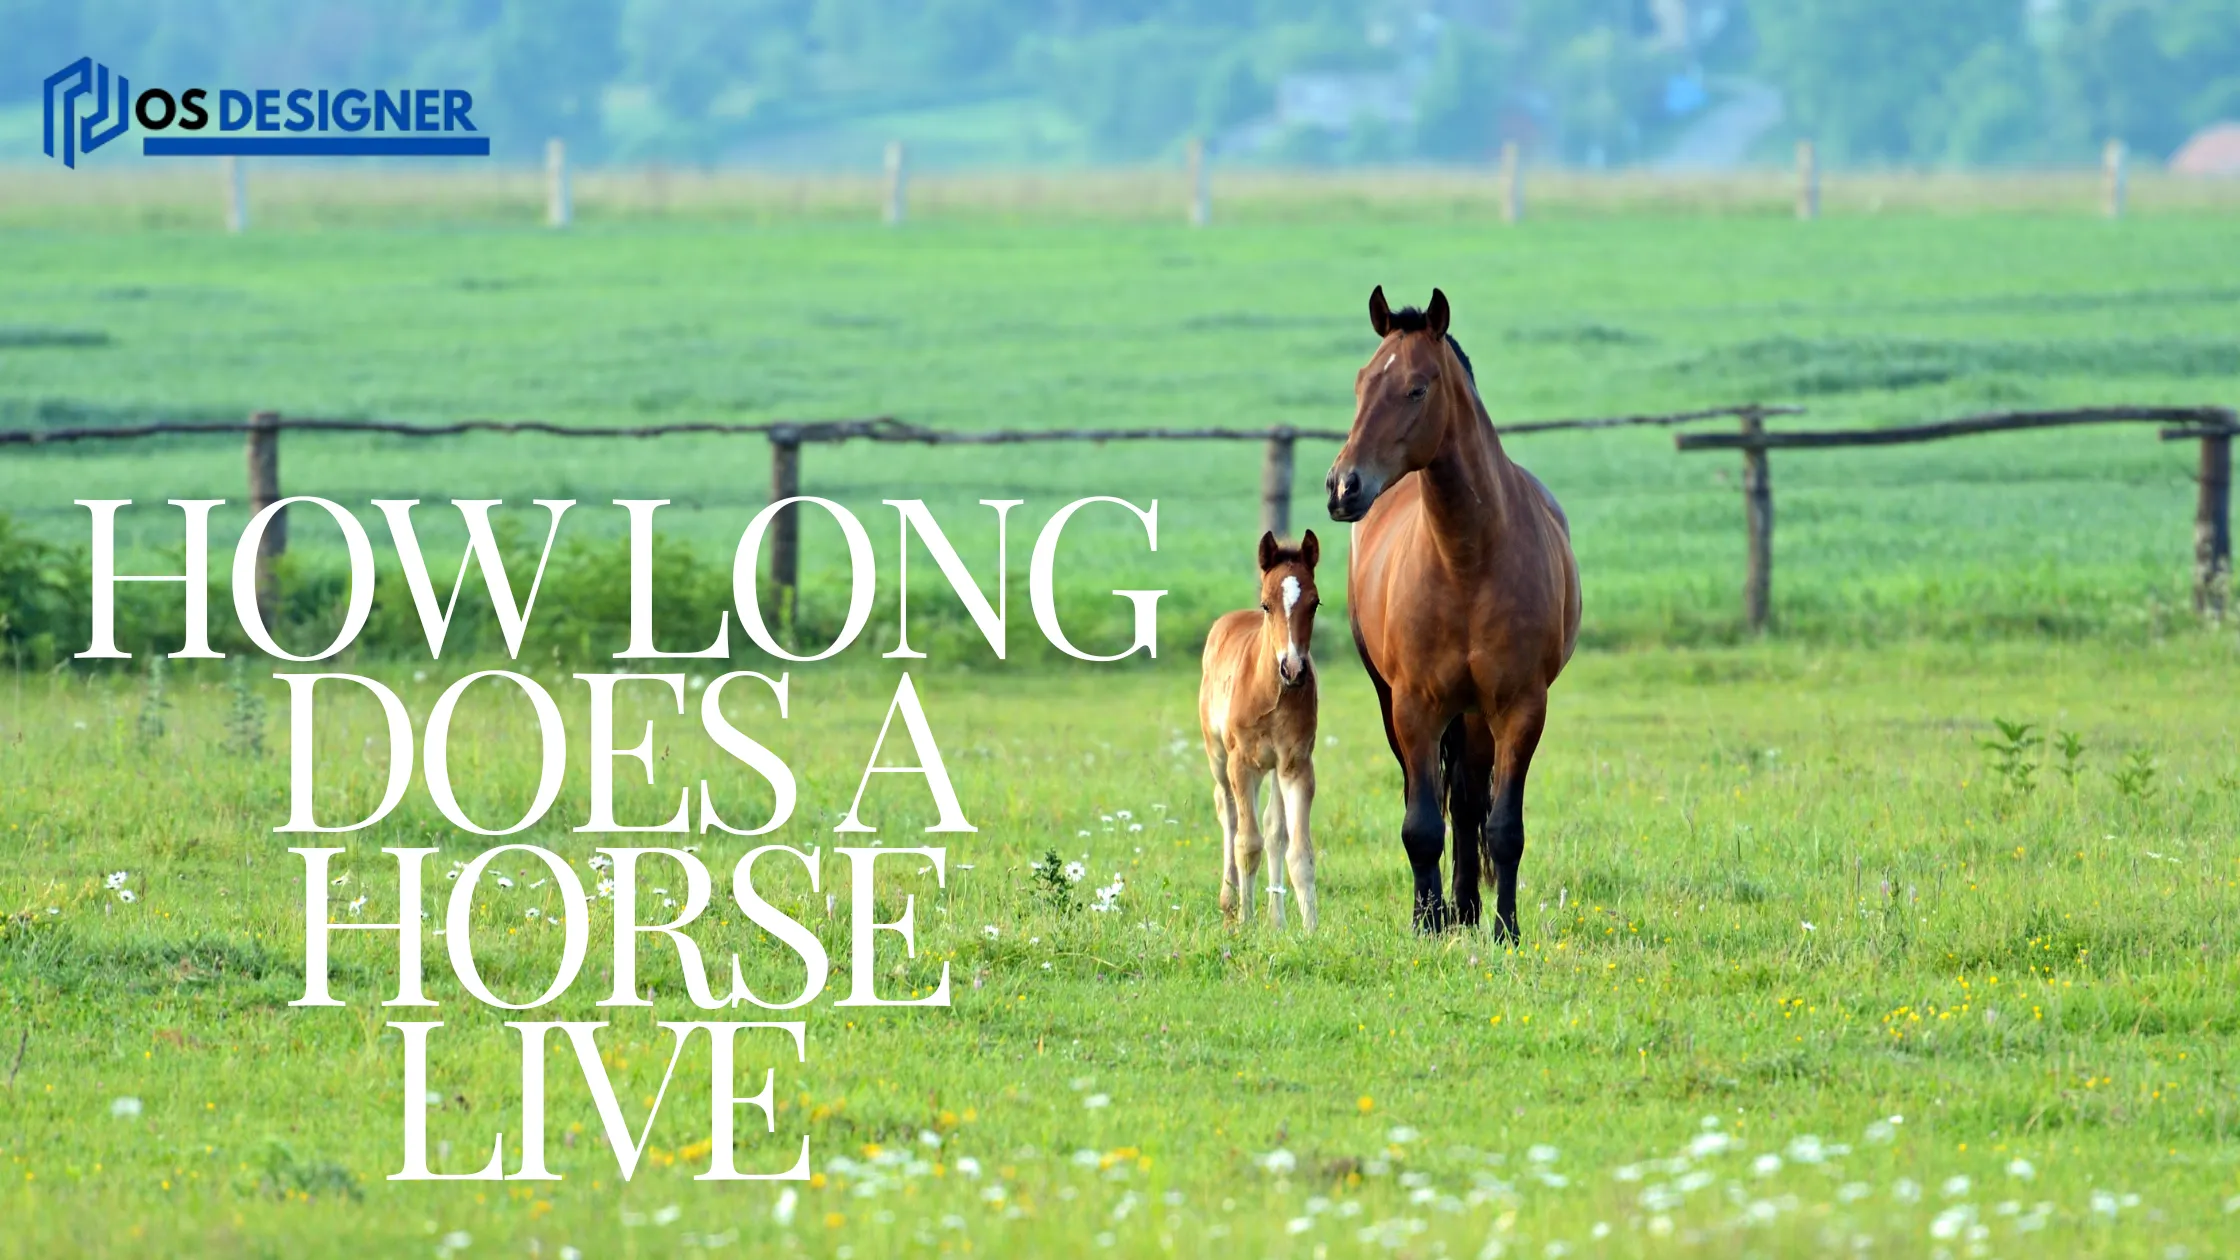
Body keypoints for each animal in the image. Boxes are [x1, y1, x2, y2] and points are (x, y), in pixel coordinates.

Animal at [1200, 524, 1317, 928]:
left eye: (1315, 603)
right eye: (1267, 604)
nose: (1293, 669)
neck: (1272, 693)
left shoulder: (1296, 765)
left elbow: (1298, 851)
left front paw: (1310, 931)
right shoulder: (1242, 763)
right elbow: (1247, 844)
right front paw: (1245, 924)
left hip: (1274, 768)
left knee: (1274, 830)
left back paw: (1277, 920)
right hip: (1218, 756)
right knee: (1228, 813)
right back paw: (1230, 902)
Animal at [1317, 284, 1585, 932]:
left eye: (1417, 388)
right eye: (1361, 382)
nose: (1342, 487)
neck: (1468, 560)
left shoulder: (1519, 708)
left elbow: (1503, 826)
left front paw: (1505, 928)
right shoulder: (1414, 707)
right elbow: (1419, 825)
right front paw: (1426, 919)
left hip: (1476, 714)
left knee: (1466, 800)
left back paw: (1468, 905)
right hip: (1397, 702)